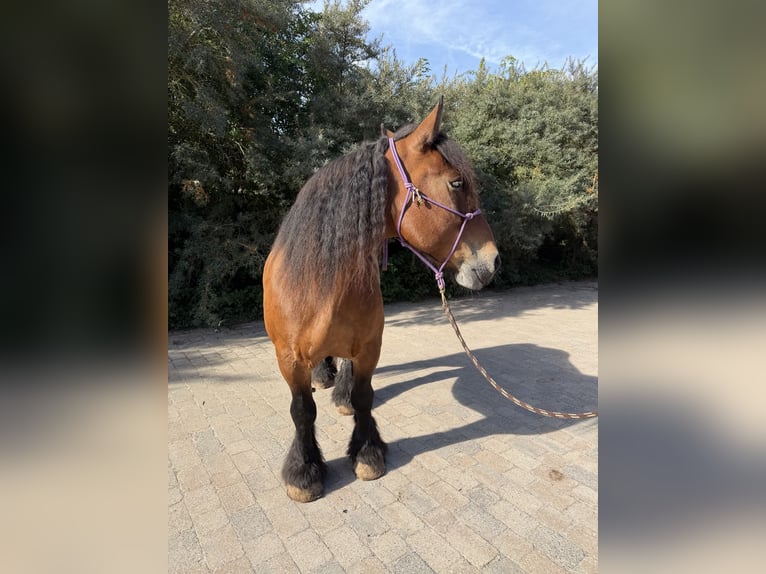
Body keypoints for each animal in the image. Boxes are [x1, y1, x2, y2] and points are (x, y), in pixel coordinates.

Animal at [262, 97, 499, 502]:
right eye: (456, 182)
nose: (493, 260)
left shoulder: (369, 347)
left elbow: (363, 397)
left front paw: (367, 452)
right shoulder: (289, 359)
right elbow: (302, 410)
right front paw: (303, 471)